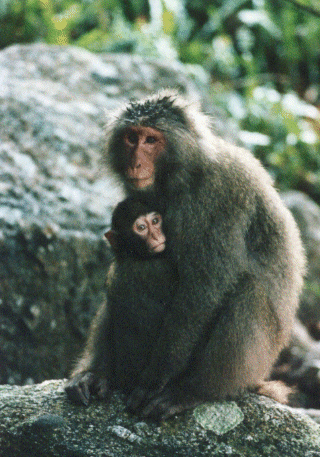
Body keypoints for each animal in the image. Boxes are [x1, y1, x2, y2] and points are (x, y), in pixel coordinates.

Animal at [66, 91, 306, 418]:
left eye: (151, 140)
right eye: (131, 138)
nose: (135, 163)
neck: (184, 175)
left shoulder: (218, 199)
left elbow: (201, 292)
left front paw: (153, 383)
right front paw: (93, 373)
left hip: (251, 364)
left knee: (244, 292)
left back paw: (194, 391)